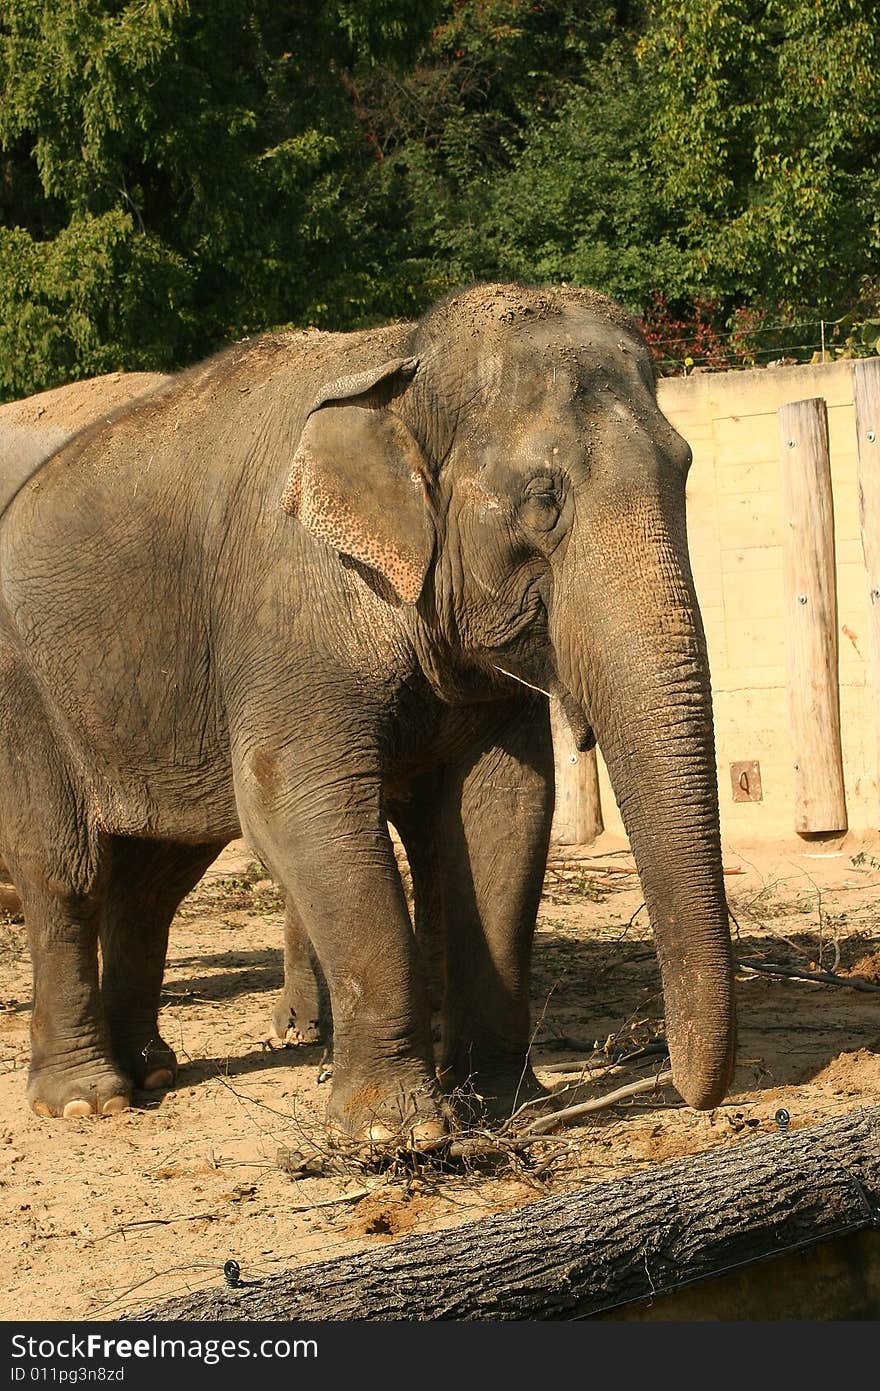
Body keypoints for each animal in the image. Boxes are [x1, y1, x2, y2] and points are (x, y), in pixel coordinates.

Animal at [0, 282, 734, 1140]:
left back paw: (151, 1069)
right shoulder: (293, 611)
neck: (405, 362)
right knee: (67, 870)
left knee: (157, 875)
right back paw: (87, 1098)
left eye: (685, 470)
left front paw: (503, 1103)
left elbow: (503, 811)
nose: (680, 1084)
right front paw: (399, 1130)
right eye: (544, 500)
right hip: (27, 690)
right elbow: (291, 801)